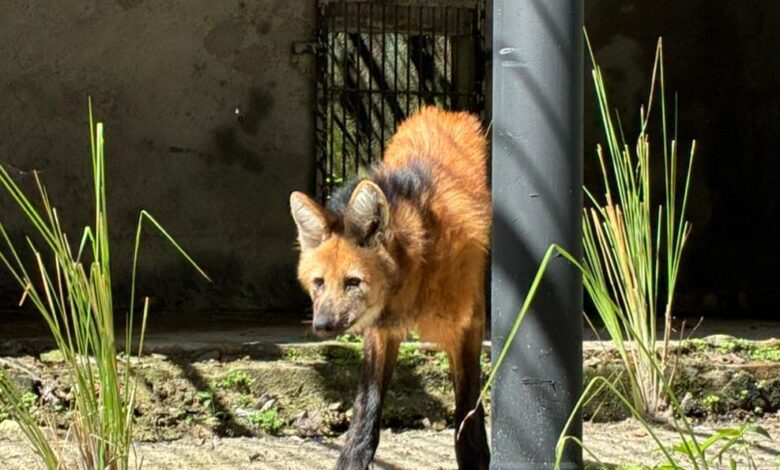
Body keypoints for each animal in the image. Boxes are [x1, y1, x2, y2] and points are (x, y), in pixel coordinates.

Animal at [289, 106, 490, 470]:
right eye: (319, 283)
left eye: (353, 282)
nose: (321, 325)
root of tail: (446, 110)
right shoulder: (381, 330)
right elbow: (366, 409)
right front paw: (352, 459)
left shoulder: (467, 325)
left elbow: (468, 406)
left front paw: (475, 455)